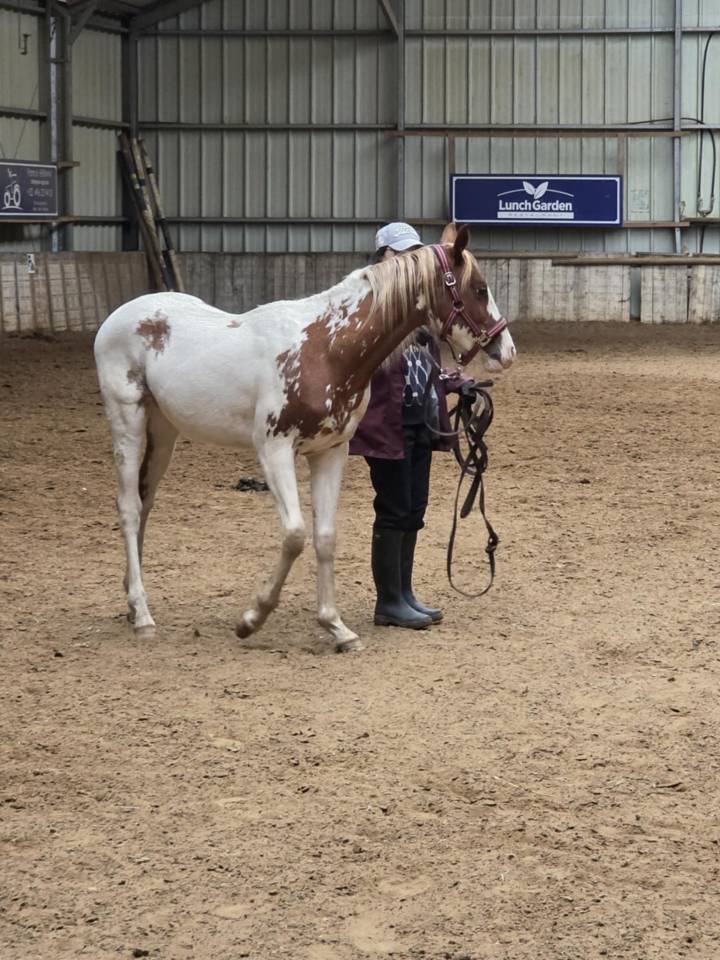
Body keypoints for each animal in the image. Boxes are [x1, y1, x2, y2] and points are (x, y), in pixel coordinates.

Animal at [93, 223, 516, 652]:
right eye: (479, 288)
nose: (506, 351)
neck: (325, 347)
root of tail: (118, 317)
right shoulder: (274, 450)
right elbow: (295, 535)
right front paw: (252, 618)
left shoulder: (330, 452)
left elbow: (325, 537)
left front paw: (337, 627)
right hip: (128, 422)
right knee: (129, 508)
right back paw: (142, 616)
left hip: (164, 431)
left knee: (145, 502)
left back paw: (131, 601)